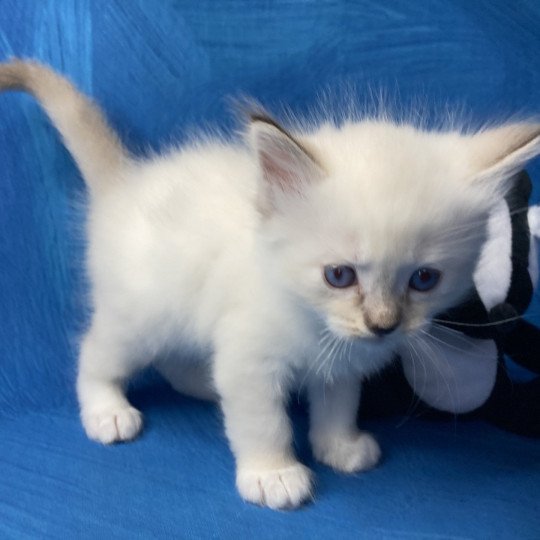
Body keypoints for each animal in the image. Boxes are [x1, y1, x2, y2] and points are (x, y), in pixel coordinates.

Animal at [2, 61, 536, 508]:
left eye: (424, 279)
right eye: (339, 276)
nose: (383, 326)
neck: (313, 321)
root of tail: (123, 186)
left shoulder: (338, 363)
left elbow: (338, 405)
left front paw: (339, 447)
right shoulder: (249, 359)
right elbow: (263, 423)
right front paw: (274, 475)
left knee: (177, 360)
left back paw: (203, 385)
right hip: (142, 317)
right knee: (95, 353)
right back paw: (106, 412)